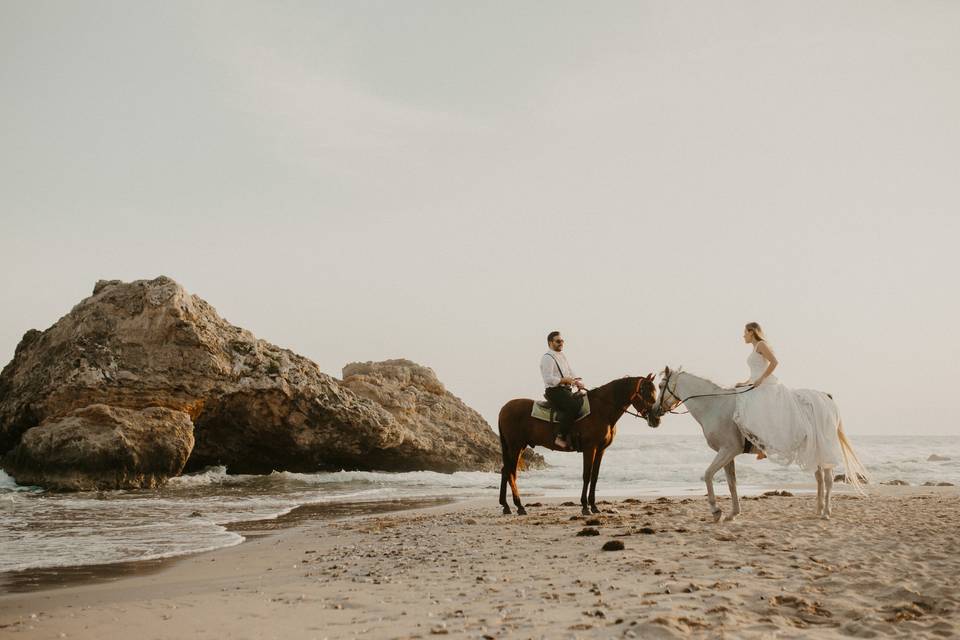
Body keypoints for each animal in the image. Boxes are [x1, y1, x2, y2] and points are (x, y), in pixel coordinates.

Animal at [498, 376, 656, 516]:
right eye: (647, 393)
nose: (656, 418)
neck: (601, 410)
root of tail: (504, 409)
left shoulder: (601, 450)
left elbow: (595, 476)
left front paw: (594, 506)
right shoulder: (590, 448)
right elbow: (586, 476)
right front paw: (585, 507)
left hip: (517, 447)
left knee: (505, 471)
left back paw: (506, 506)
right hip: (515, 446)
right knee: (510, 472)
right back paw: (519, 506)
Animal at [648, 368, 868, 524]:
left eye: (660, 385)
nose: (653, 415)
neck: (715, 405)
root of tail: (826, 398)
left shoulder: (727, 450)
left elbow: (708, 475)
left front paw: (716, 511)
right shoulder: (728, 453)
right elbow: (731, 483)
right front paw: (733, 513)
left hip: (822, 449)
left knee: (828, 480)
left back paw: (826, 513)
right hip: (814, 451)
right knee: (820, 479)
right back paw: (819, 509)